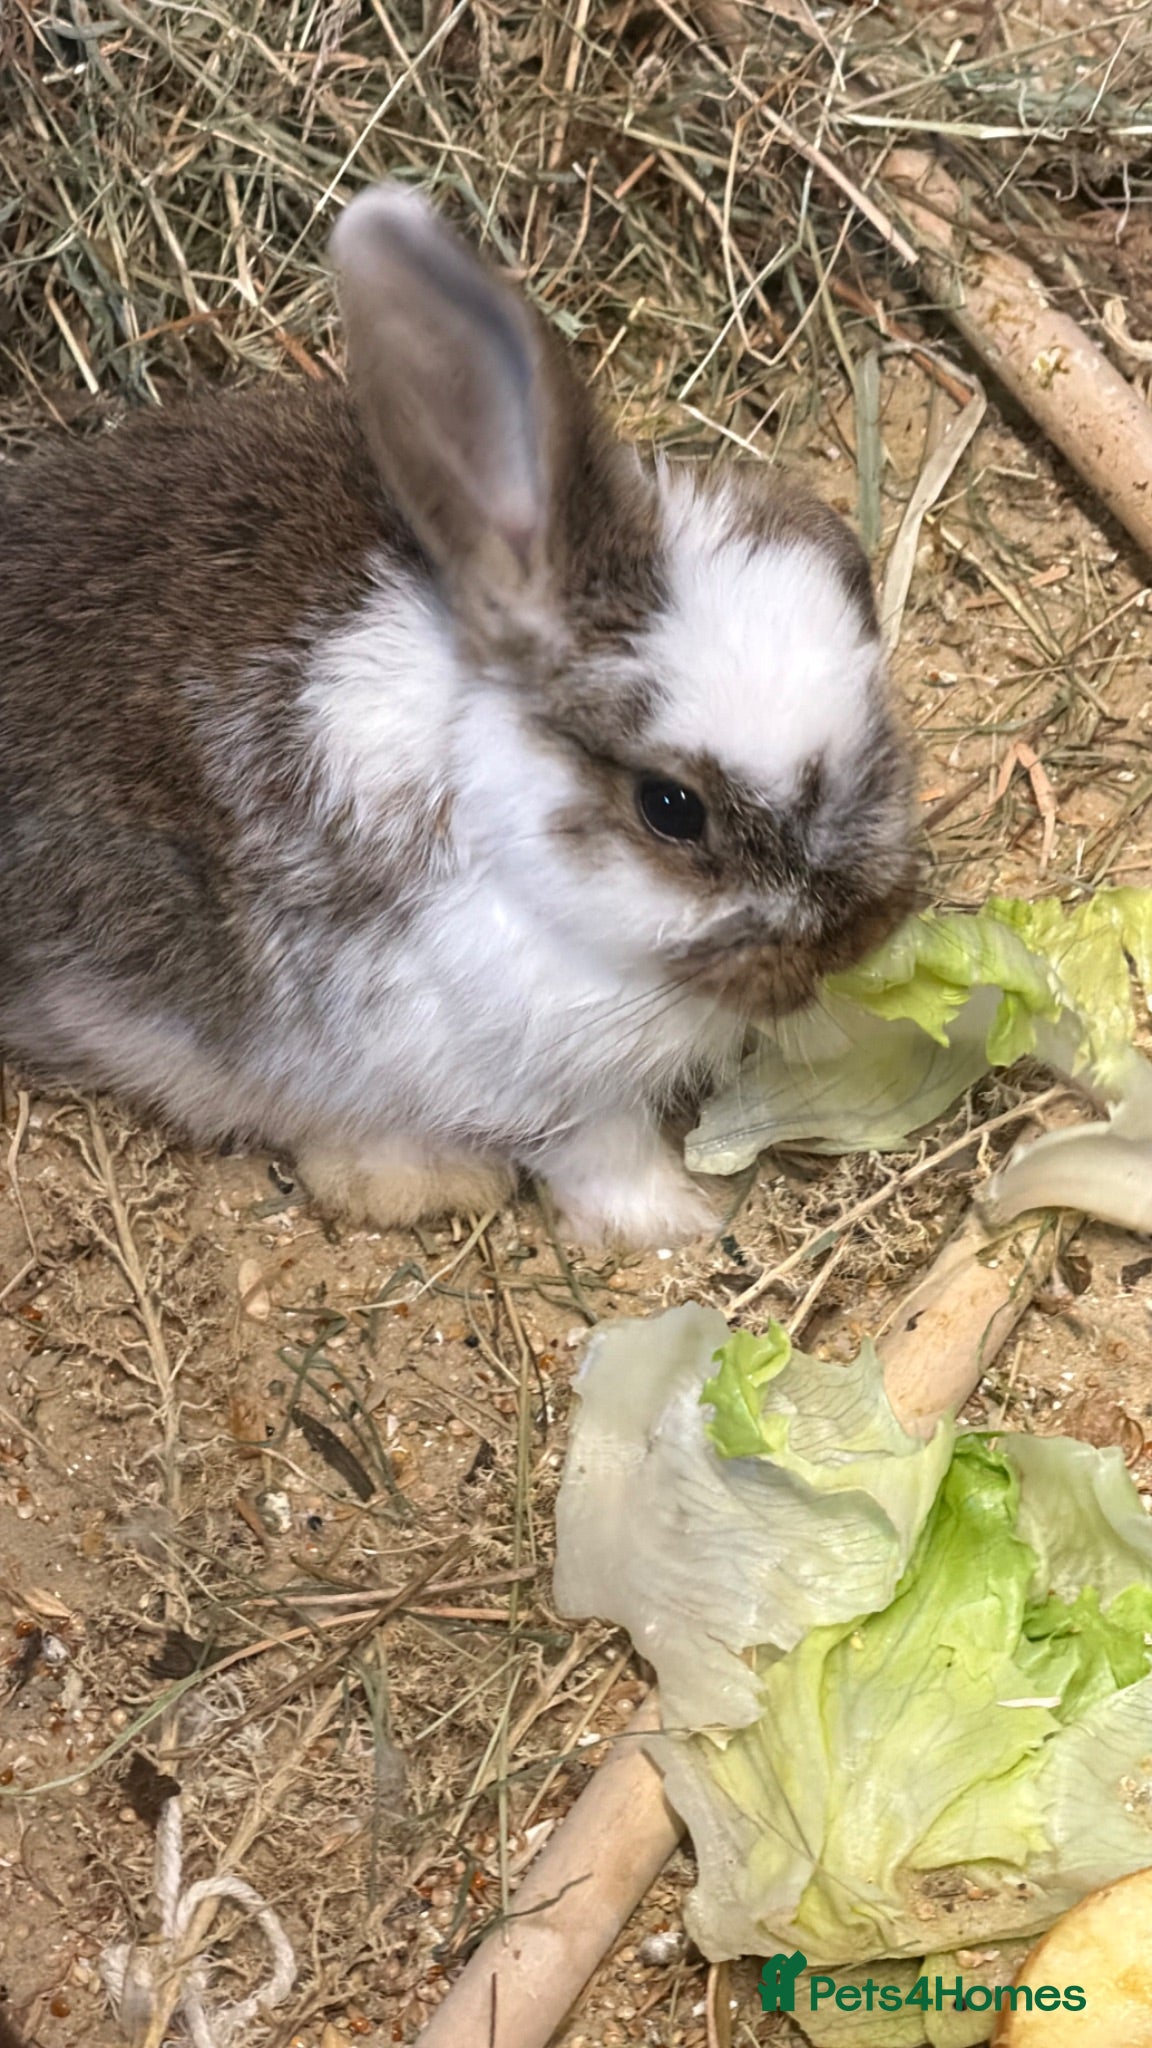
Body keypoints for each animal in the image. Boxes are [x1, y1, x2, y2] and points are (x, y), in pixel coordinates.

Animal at [0, 183, 919, 1249]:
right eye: (671, 809)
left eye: (853, 565)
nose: (863, 932)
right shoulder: (545, 1076)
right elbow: (605, 1159)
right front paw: (678, 1223)